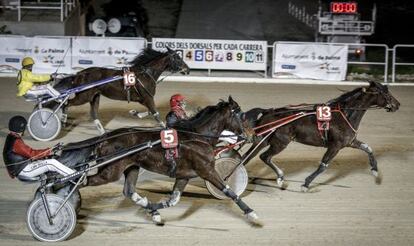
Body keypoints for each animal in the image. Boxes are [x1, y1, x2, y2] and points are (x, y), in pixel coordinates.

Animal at [51, 47, 190, 134]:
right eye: (178, 58)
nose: (187, 69)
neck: (145, 74)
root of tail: (80, 74)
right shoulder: (148, 97)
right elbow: (155, 114)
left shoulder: (143, 99)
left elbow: (150, 112)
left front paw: (135, 113)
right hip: (84, 96)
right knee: (67, 103)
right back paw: (62, 120)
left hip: (95, 96)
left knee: (94, 114)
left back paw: (102, 132)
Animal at [61, 96, 258, 225]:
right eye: (241, 115)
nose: (252, 135)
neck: (197, 136)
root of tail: (107, 137)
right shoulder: (207, 170)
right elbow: (228, 191)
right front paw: (251, 213)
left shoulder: (184, 175)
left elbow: (173, 200)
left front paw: (153, 210)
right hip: (110, 171)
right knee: (82, 181)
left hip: (131, 167)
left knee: (129, 191)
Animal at [241, 81, 400, 191]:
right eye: (386, 94)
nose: (397, 104)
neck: (345, 114)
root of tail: (268, 112)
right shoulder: (335, 146)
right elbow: (323, 166)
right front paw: (306, 184)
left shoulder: (350, 142)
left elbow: (368, 148)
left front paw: (375, 171)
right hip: (280, 142)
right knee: (264, 157)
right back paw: (279, 177)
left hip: (265, 140)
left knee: (249, 157)